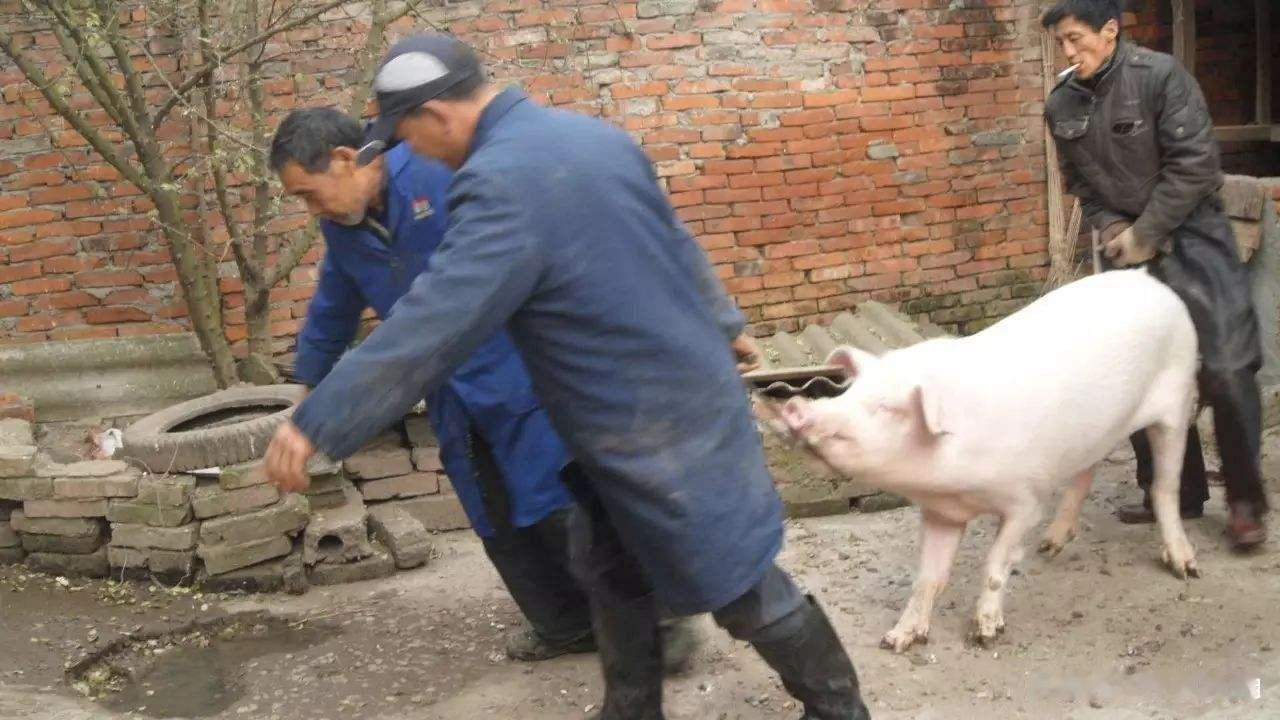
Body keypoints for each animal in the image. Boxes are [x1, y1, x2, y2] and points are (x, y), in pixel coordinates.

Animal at [762, 268, 1200, 653]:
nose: (797, 406)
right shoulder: (941, 513)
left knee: (1164, 486)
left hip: (1177, 402)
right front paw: (896, 641)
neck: (954, 487)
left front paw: (985, 634)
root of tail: (1150, 281)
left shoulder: (1026, 501)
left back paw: (1185, 567)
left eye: (888, 408)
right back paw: (1050, 546)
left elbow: (995, 564)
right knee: (1087, 469)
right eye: (849, 392)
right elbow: (928, 578)